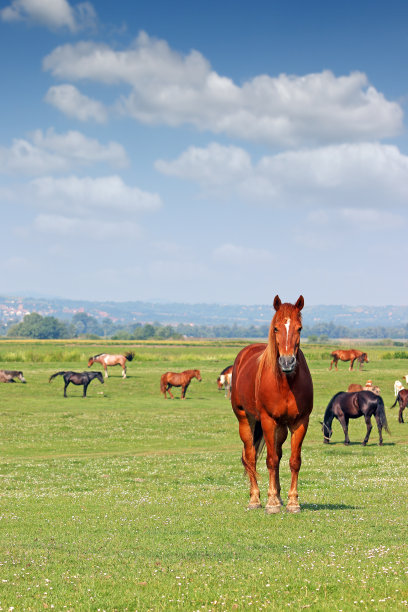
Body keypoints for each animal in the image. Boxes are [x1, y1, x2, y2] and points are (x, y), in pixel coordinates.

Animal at [231, 294, 314, 512]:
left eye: (299, 328)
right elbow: (271, 461)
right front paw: (271, 503)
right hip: (245, 420)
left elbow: (294, 461)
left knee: (278, 453)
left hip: (281, 428)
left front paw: (292, 502)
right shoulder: (268, 421)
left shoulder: (300, 422)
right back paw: (255, 499)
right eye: (276, 328)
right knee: (250, 457)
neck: (285, 383)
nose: (287, 362)